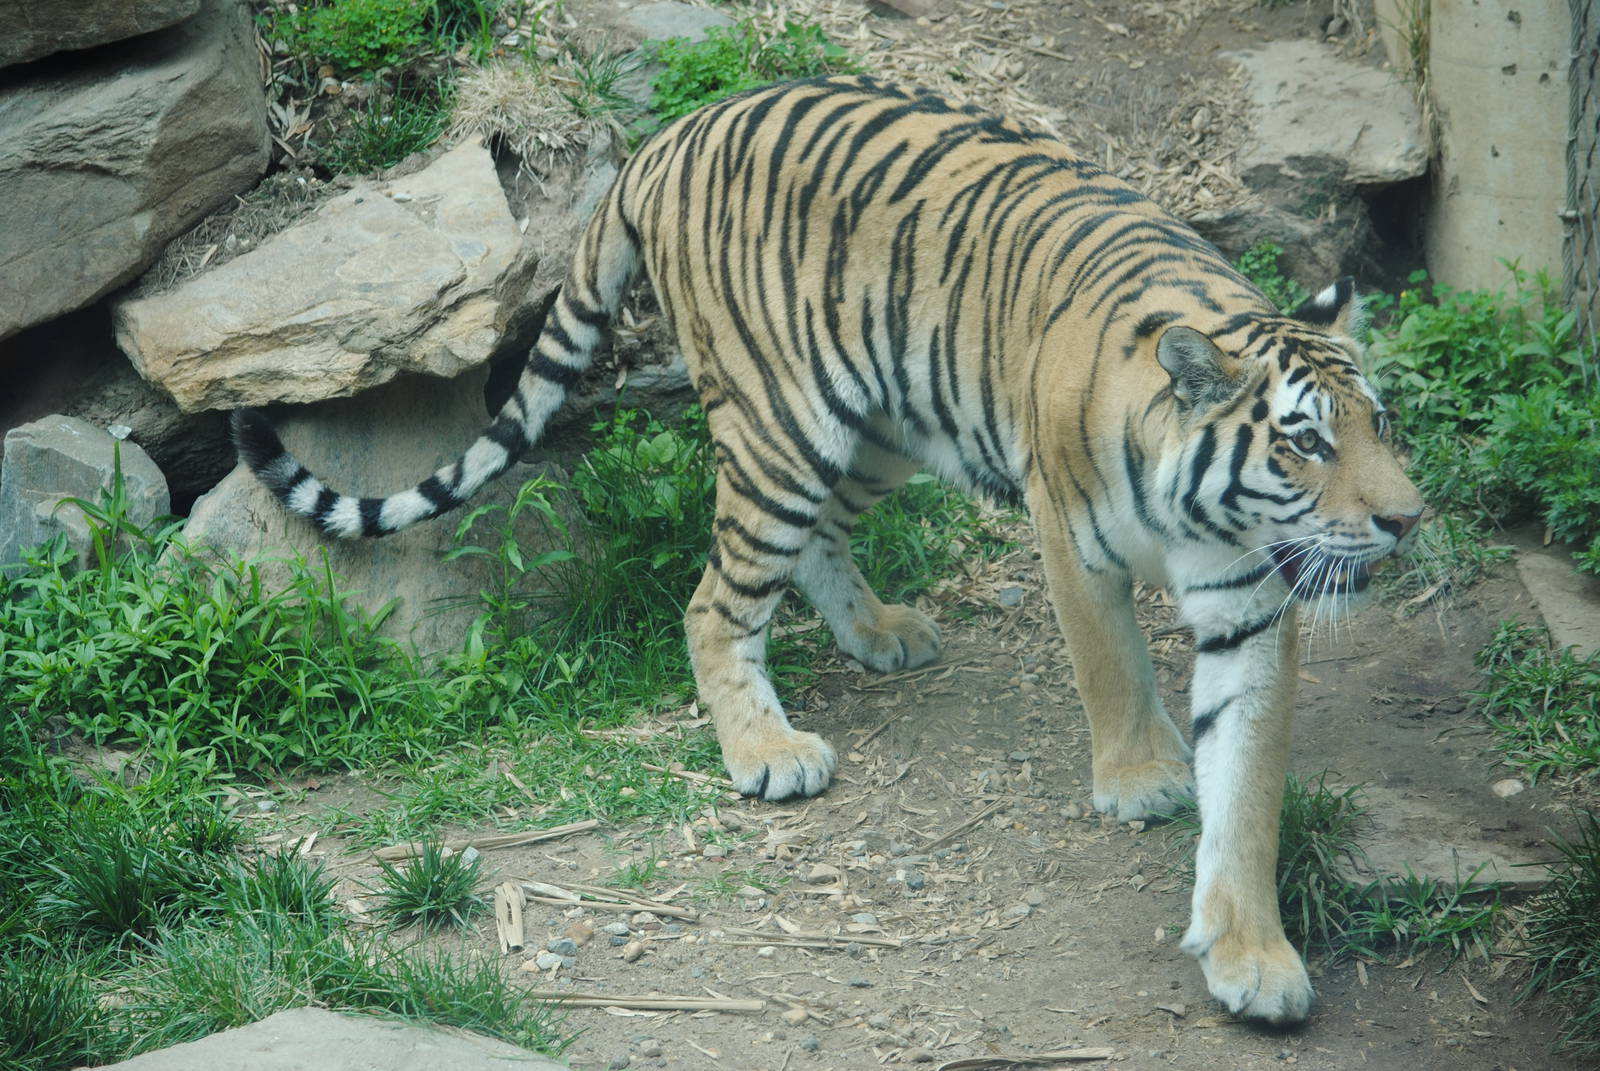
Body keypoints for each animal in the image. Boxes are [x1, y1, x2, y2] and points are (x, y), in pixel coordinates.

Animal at [234, 75, 1423, 1022]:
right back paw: (769, 752)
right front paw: (1141, 779)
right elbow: (1114, 668)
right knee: (715, 601)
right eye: (1307, 440)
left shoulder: (1250, 600)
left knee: (811, 547)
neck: (1210, 511)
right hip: (781, 427)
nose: (1407, 519)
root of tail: (665, 138)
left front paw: (1252, 957)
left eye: (1379, 425)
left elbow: (1250, 788)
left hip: (881, 424)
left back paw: (880, 633)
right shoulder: (1069, 538)